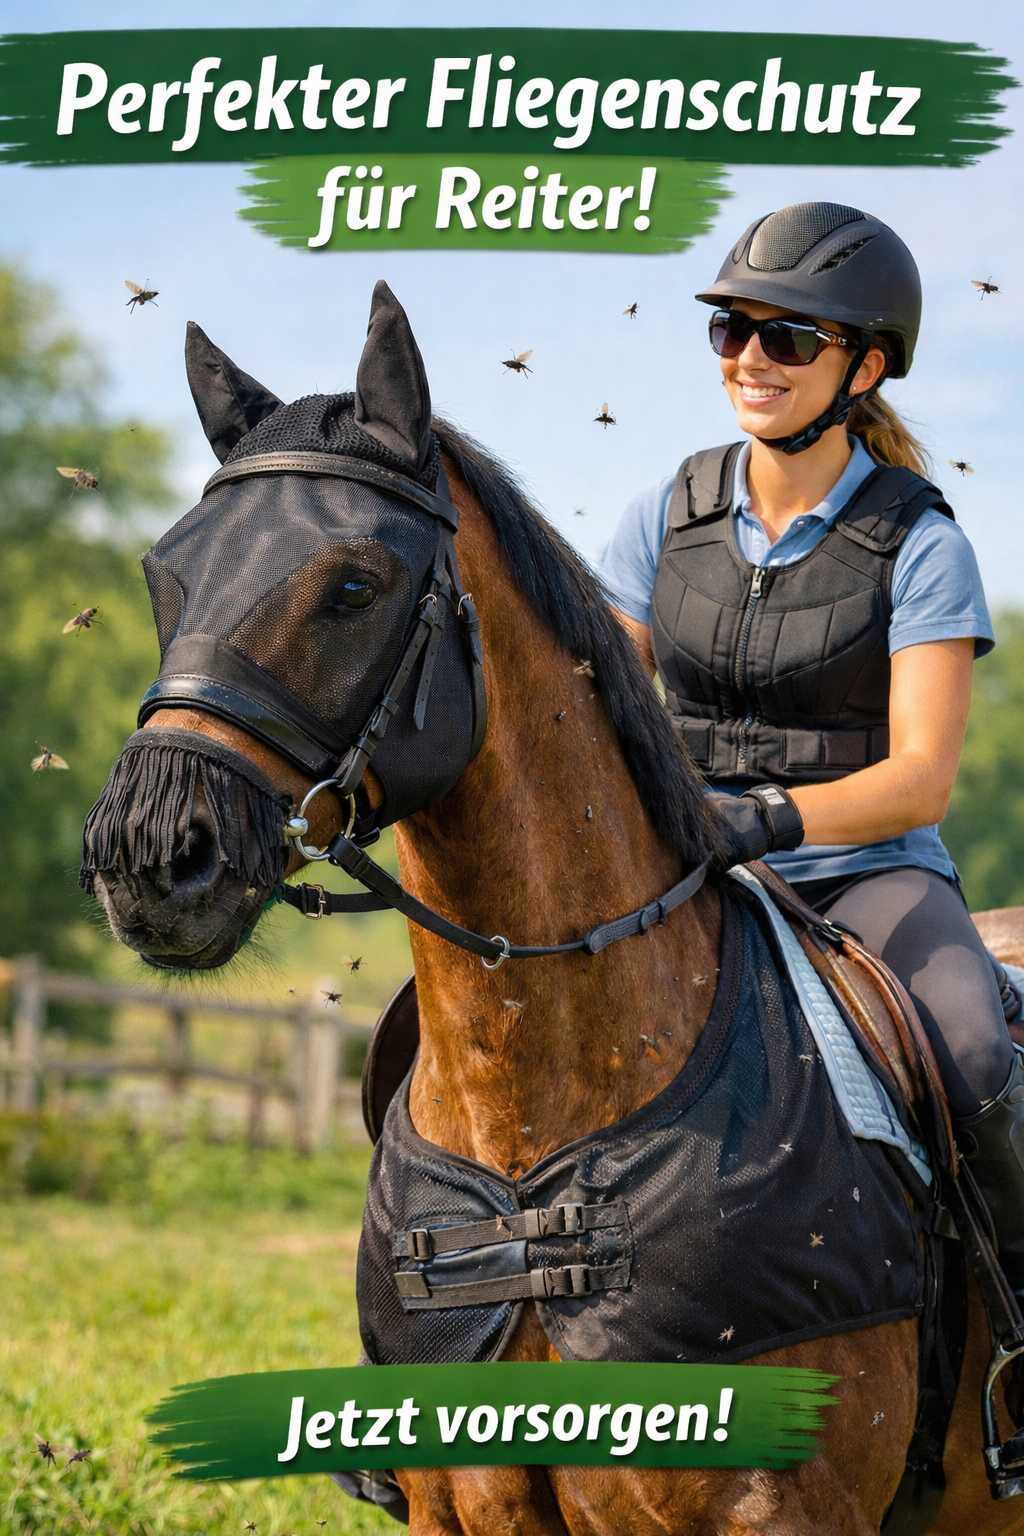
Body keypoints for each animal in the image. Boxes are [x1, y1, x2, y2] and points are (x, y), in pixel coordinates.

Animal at [82, 281, 1024, 1535]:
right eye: (164, 572)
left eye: (354, 585)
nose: (145, 854)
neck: (534, 1138)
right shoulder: (465, 1507)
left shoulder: (781, 1510)